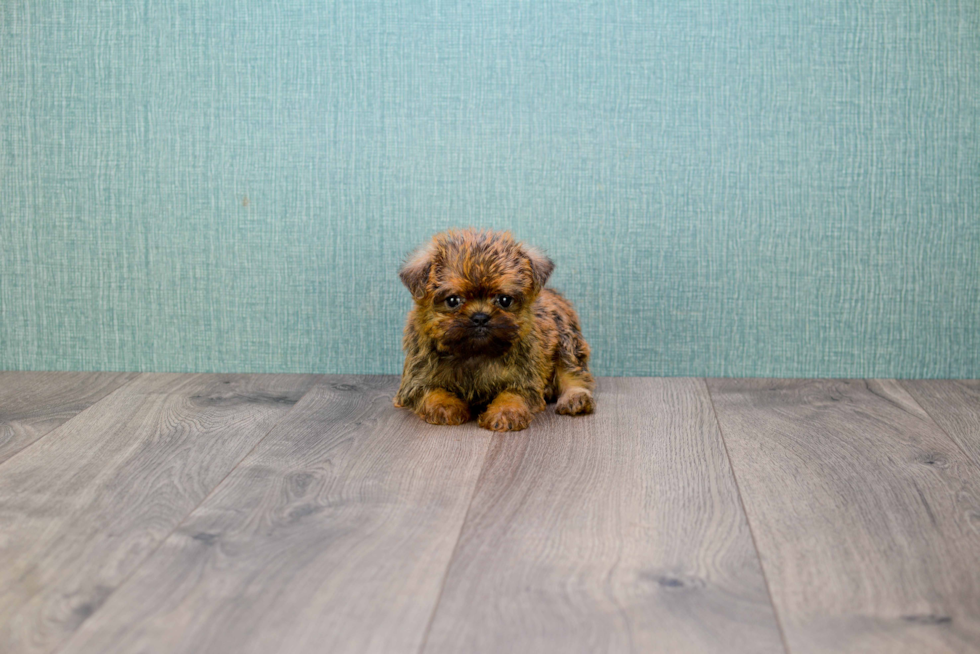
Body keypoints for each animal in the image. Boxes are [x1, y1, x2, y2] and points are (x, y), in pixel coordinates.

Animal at [392, 228, 592, 434]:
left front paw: (506, 412)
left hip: (566, 340)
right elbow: (432, 392)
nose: (480, 317)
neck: (475, 354)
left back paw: (575, 398)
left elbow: (512, 394)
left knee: (573, 374)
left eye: (504, 300)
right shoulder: (415, 382)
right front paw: (445, 406)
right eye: (453, 300)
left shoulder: (525, 380)